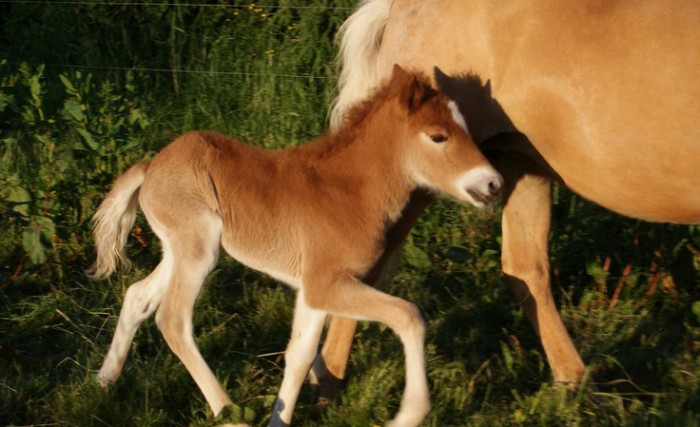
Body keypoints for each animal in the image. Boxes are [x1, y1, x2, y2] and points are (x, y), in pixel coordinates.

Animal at [90, 64, 504, 427]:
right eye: (438, 136)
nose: (493, 184)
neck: (350, 191)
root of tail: (151, 166)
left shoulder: (314, 290)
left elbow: (300, 356)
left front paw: (280, 418)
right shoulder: (327, 284)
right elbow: (410, 316)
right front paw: (409, 414)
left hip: (182, 248)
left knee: (138, 296)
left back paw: (103, 381)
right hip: (198, 247)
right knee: (172, 320)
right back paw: (228, 414)